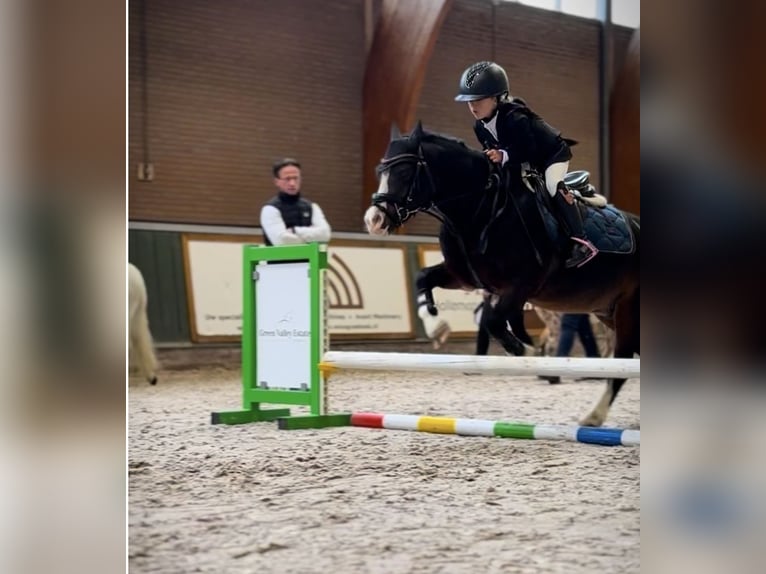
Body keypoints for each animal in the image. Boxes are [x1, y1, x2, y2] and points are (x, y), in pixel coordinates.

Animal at [364, 122, 639, 426]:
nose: (373, 221)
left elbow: (494, 320)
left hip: (627, 311)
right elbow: (422, 278)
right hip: (608, 311)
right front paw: (437, 326)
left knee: (623, 359)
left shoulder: (522, 285)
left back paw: (592, 416)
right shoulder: (464, 276)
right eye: (379, 171)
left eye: (404, 172)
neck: (481, 208)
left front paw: (529, 352)